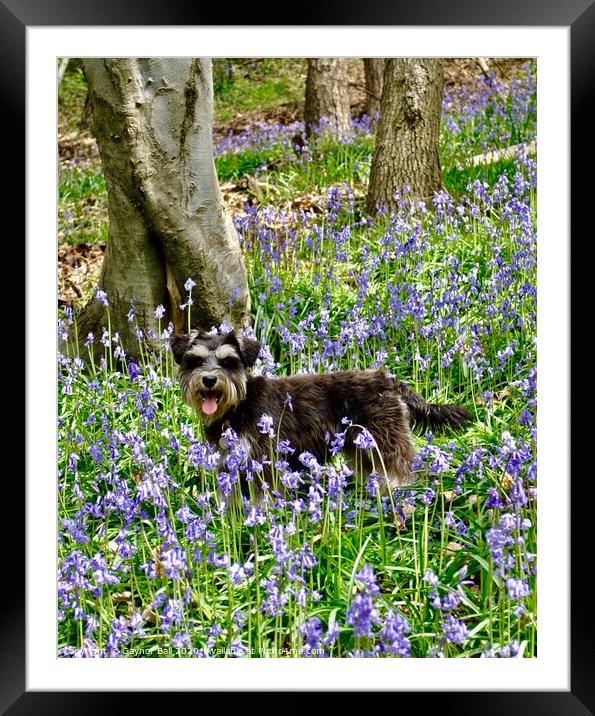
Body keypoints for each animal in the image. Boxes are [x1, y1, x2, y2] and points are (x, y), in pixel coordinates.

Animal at [170, 328, 472, 496]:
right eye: (195, 361)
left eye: (228, 362)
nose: (209, 380)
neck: (238, 406)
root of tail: (387, 379)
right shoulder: (230, 466)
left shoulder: (263, 462)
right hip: (361, 449)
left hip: (385, 442)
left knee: (404, 471)